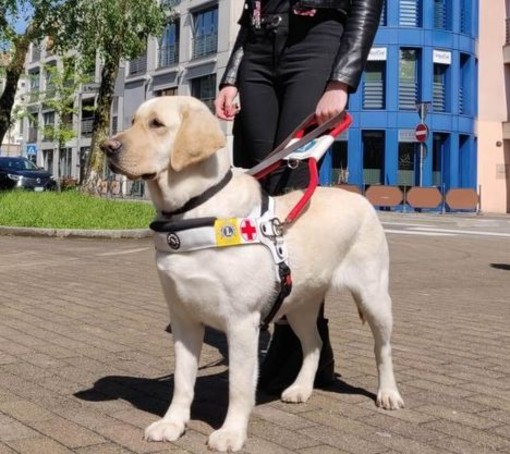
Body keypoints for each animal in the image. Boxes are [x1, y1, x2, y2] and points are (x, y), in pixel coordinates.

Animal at [99, 95, 402, 450]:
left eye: (157, 124)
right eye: (133, 121)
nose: (106, 146)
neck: (192, 213)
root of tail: (359, 197)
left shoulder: (242, 323)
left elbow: (239, 386)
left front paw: (231, 433)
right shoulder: (183, 318)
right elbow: (183, 381)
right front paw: (172, 423)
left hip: (374, 297)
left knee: (383, 348)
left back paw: (388, 393)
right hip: (299, 304)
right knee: (313, 343)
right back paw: (301, 388)